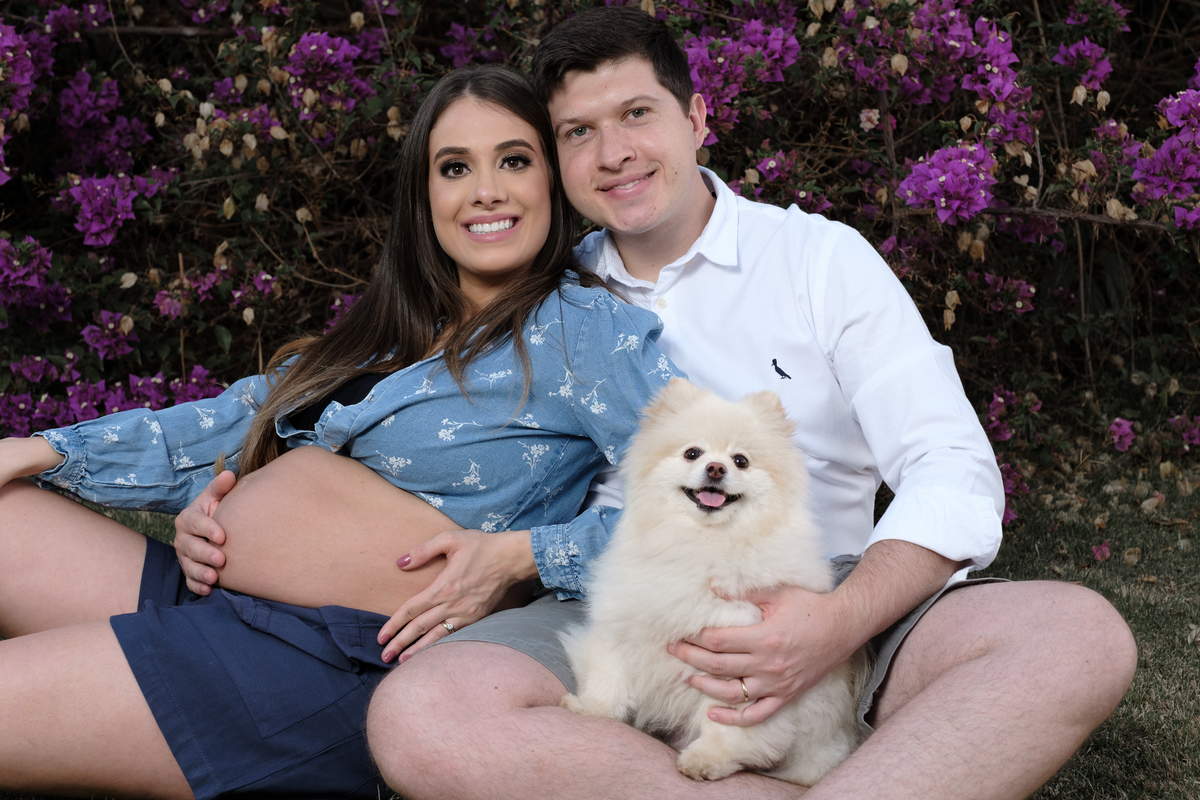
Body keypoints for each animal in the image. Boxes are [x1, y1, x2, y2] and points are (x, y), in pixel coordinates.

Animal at [560, 378, 866, 786]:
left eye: (741, 461)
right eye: (693, 453)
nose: (716, 468)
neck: (703, 545)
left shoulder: (743, 661)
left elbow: (728, 723)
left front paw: (709, 759)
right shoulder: (624, 625)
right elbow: (609, 679)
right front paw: (591, 711)